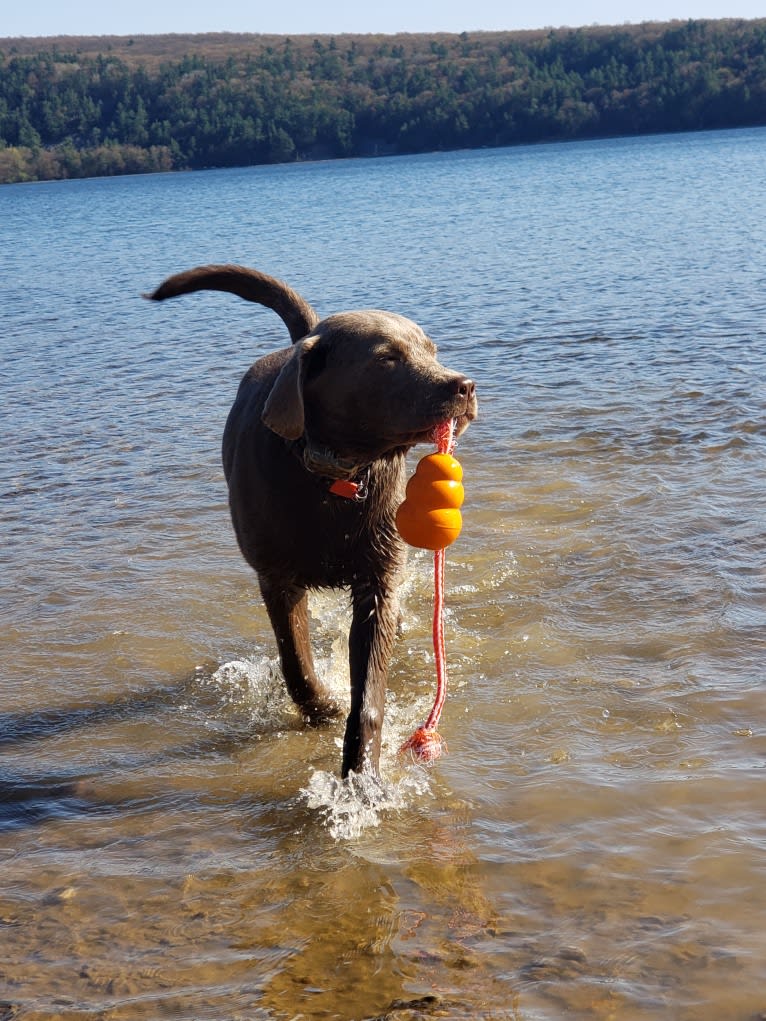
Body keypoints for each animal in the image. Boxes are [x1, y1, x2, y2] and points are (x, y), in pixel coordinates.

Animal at [147, 263, 477, 771]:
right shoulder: (276, 578)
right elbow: (296, 664)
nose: (465, 386)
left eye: (431, 350)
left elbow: (370, 693)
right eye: (386, 358)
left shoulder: (376, 577)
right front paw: (323, 708)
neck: (333, 478)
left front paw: (362, 773)